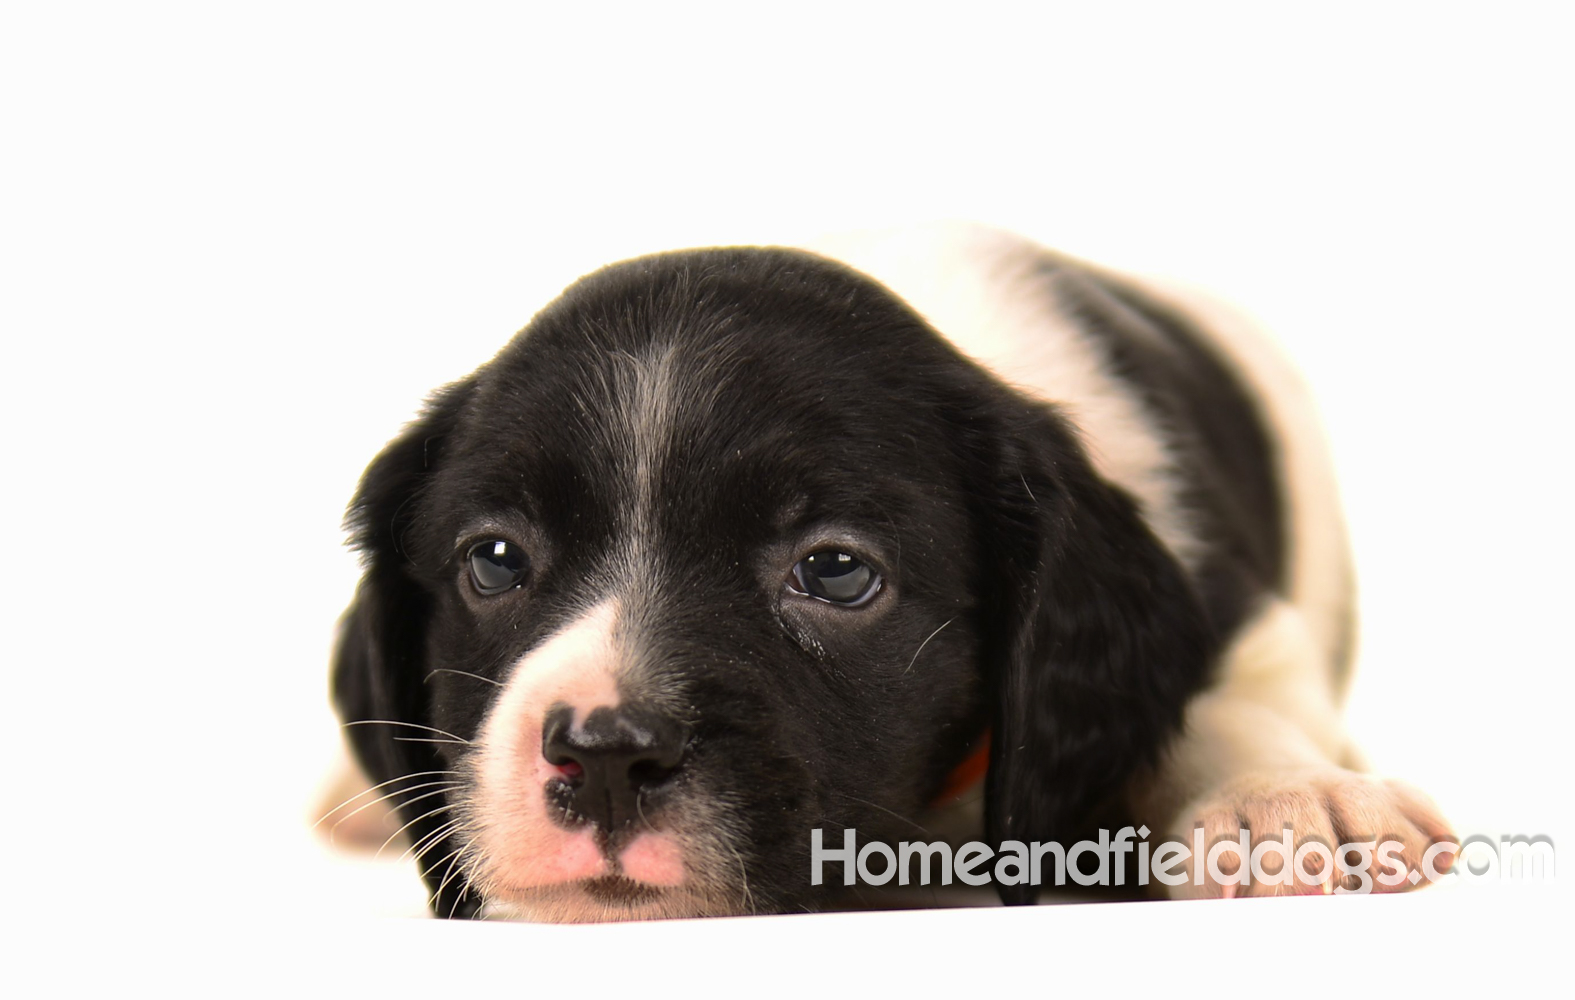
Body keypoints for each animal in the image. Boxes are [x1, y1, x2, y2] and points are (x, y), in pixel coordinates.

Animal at [329, 223, 1449, 919]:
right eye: (495, 560)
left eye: (835, 572)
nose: (604, 752)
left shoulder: (1234, 604)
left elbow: (1235, 698)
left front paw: (1285, 795)